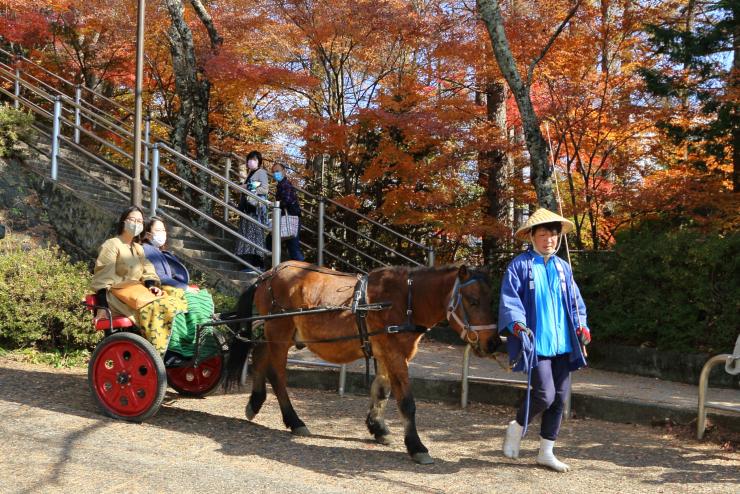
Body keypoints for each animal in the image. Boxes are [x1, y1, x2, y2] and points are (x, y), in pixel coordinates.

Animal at [225, 260, 502, 466]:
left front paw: (378, 428)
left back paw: (255, 402)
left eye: (491, 300)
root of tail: (268, 274)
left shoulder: (386, 353)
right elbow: (407, 402)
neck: (405, 299)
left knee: (259, 355)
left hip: (278, 333)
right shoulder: (395, 353)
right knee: (278, 375)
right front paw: (416, 446)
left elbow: (381, 392)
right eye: (473, 301)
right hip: (279, 331)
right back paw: (295, 421)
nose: (493, 343)